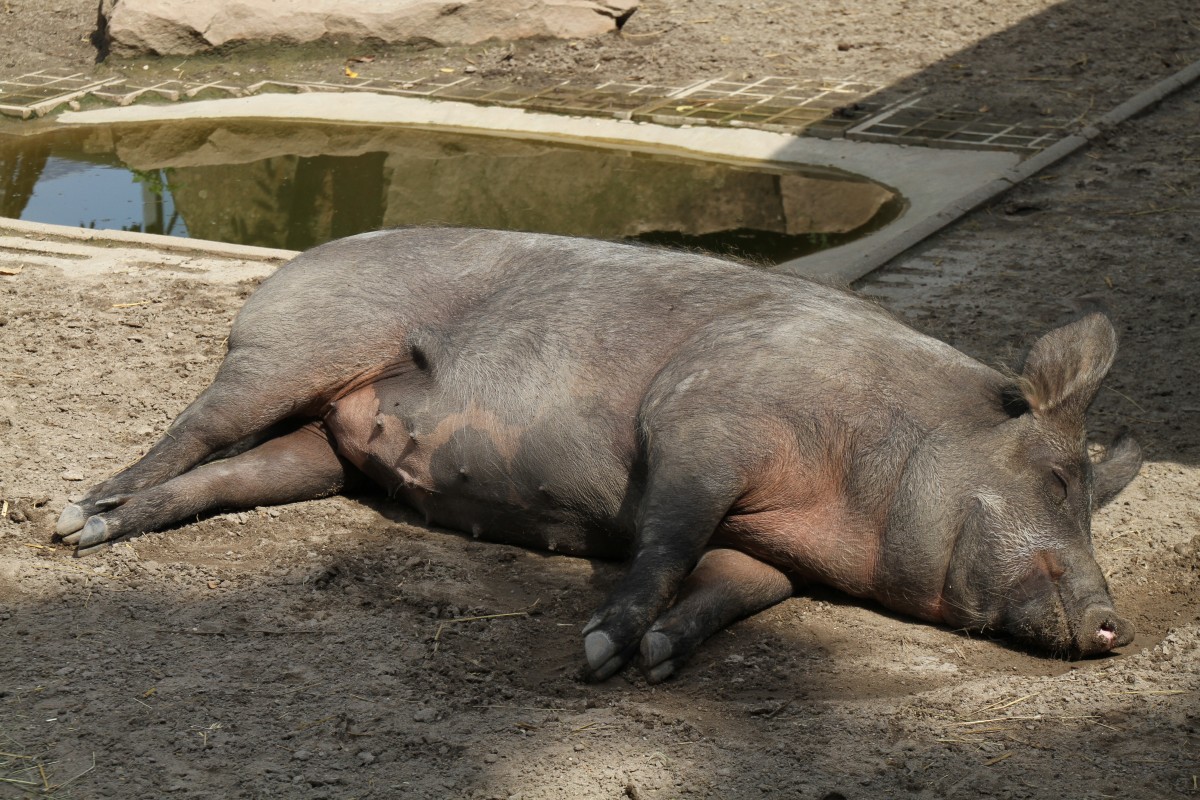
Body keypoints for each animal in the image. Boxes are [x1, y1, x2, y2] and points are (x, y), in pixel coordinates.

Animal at [58, 226, 1142, 681]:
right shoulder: (703, 428)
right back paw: (75, 517)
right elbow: (663, 545)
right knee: (195, 429)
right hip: (289, 351)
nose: (1114, 624)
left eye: (1093, 496)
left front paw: (658, 660)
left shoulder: (770, 552)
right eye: (1056, 477)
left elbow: (729, 589)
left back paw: (100, 527)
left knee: (230, 473)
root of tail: (293, 264)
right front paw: (599, 654)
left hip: (324, 448)